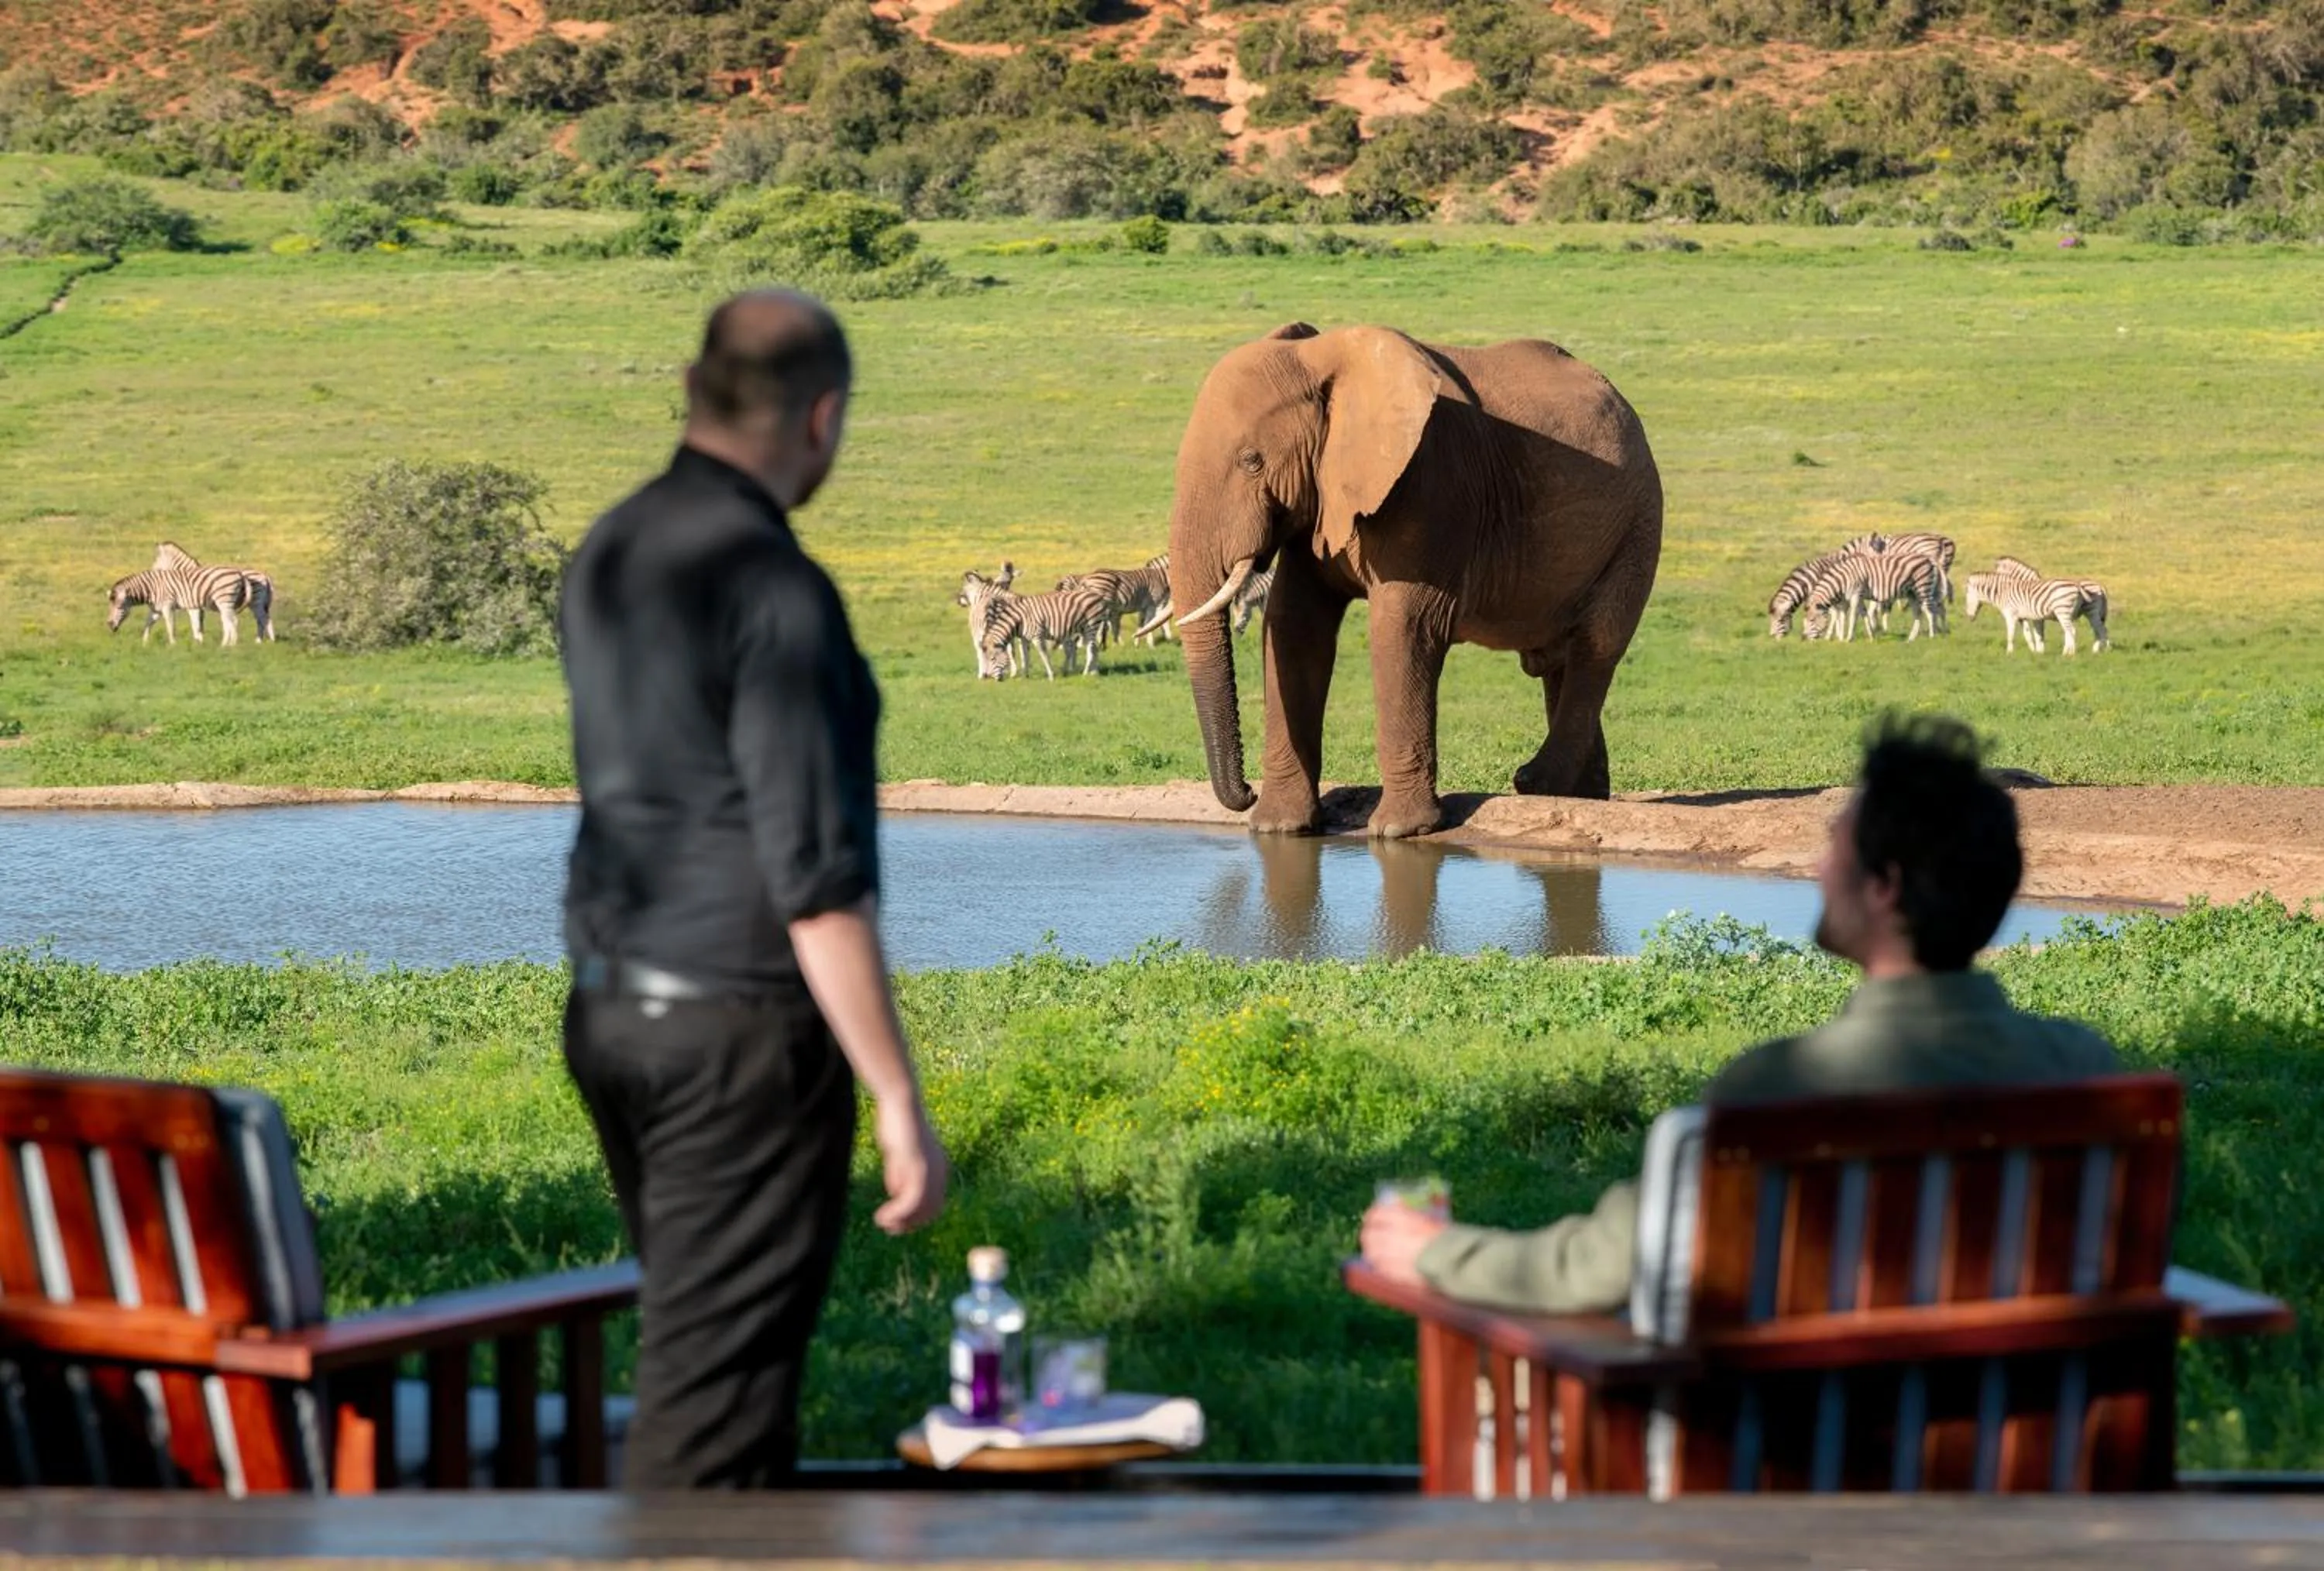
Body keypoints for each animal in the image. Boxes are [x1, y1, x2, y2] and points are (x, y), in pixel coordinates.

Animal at [1149, 322, 1663, 838]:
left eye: (1251, 460)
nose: (1246, 793)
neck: (1323, 358)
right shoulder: (1320, 497)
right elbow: (1293, 625)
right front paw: (1279, 829)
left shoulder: (1431, 482)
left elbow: (1402, 628)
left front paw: (1398, 832)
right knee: (1557, 659)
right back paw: (1579, 796)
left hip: (1639, 524)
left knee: (1595, 647)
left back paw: (1537, 782)